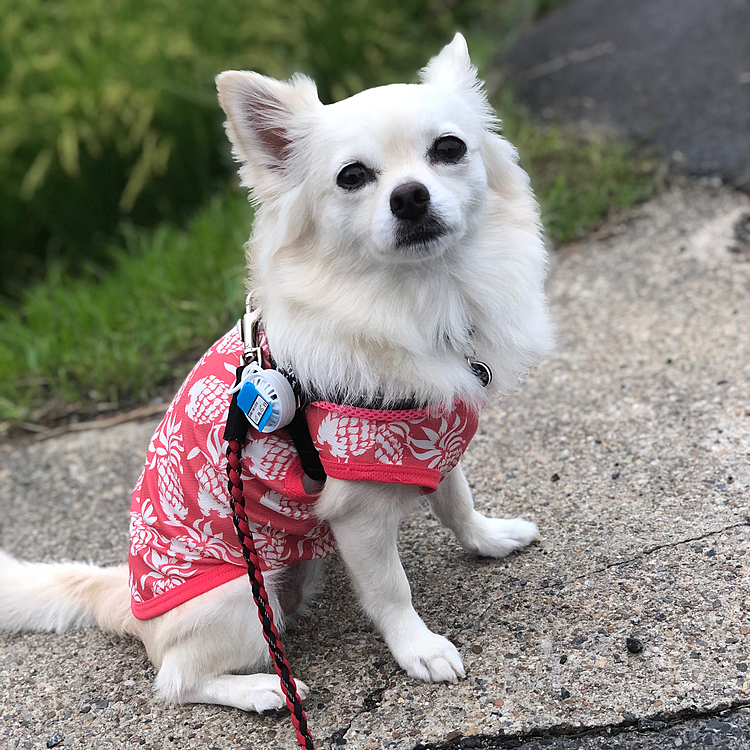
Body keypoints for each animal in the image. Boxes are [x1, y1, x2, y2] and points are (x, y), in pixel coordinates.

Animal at [0, 35, 552, 716]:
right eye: (352, 177)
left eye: (449, 148)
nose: (410, 196)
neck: (420, 299)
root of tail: (127, 601)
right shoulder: (356, 512)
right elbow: (391, 592)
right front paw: (418, 649)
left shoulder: (428, 445)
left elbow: (457, 502)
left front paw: (489, 539)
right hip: (244, 590)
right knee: (176, 680)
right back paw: (265, 689)